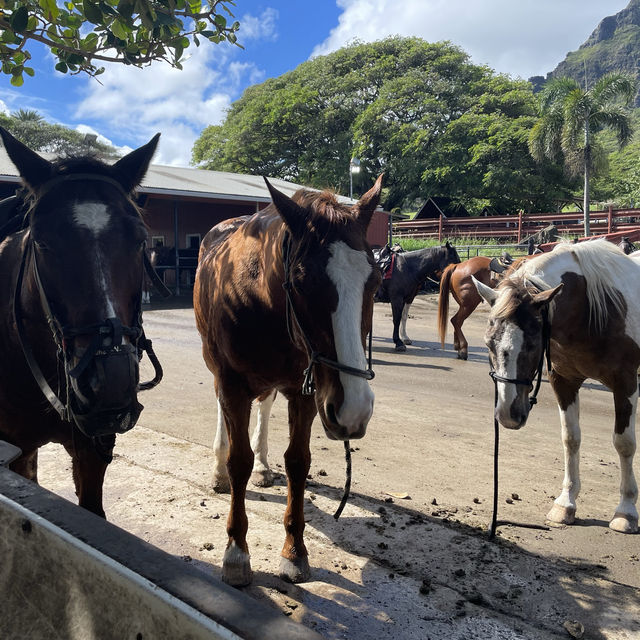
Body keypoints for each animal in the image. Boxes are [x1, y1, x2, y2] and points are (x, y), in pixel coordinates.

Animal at [192, 175, 382, 584]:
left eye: (374, 282)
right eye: (301, 282)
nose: (354, 410)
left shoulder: (306, 390)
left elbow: (298, 461)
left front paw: (295, 550)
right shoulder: (232, 384)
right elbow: (239, 461)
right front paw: (236, 551)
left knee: (264, 406)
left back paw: (264, 466)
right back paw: (218, 470)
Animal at [476, 238, 640, 532]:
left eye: (532, 342)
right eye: (488, 343)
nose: (508, 415)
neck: (593, 312)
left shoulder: (626, 383)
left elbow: (624, 443)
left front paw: (626, 510)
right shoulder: (564, 381)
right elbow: (570, 438)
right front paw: (566, 503)